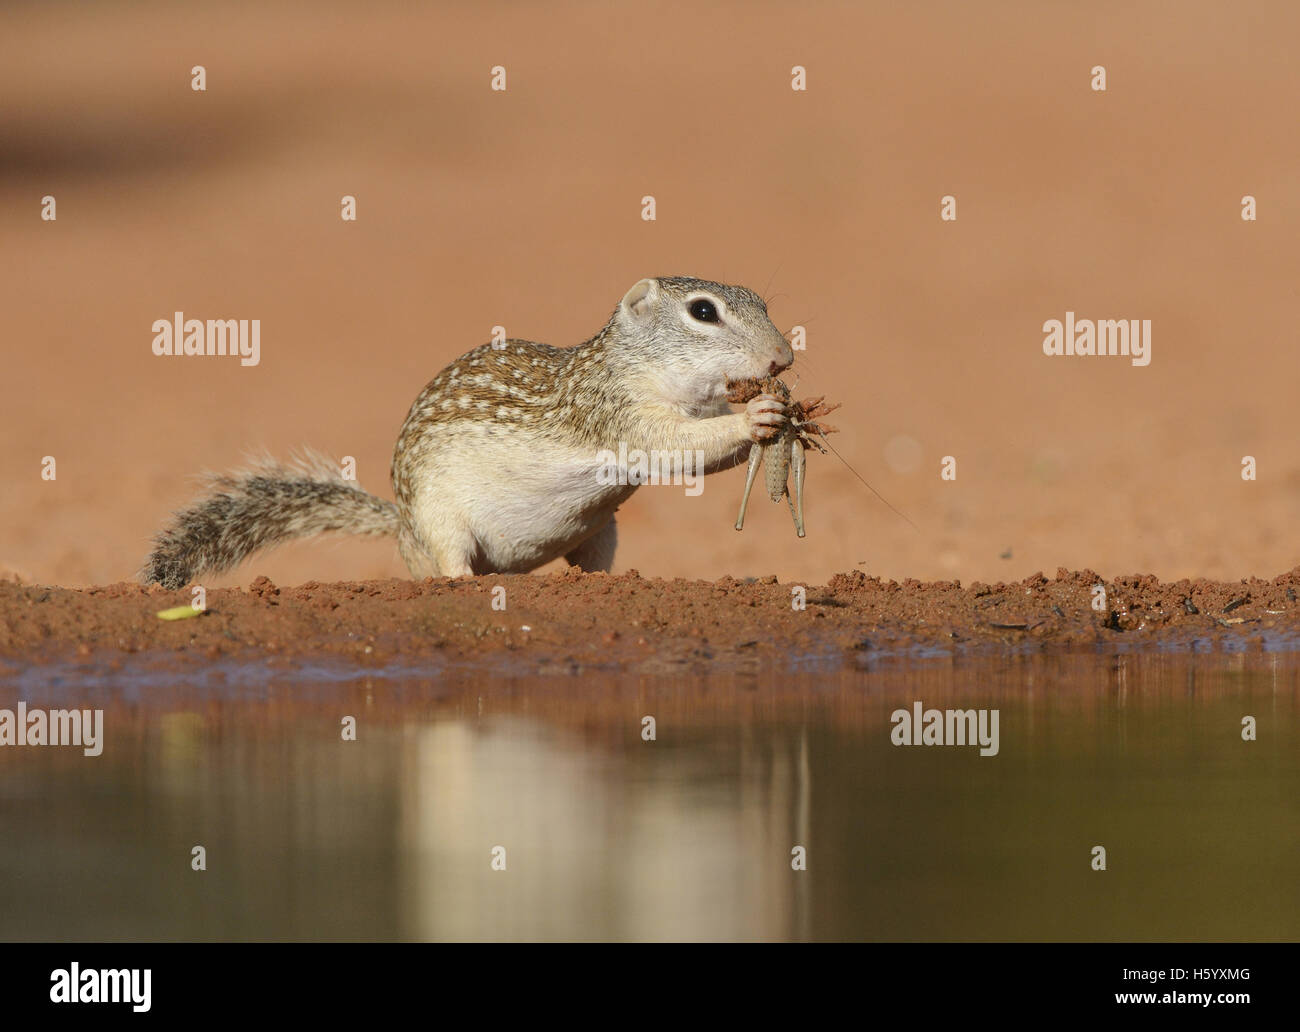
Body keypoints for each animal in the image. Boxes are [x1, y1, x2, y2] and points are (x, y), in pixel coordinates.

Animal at [140, 276, 794, 588]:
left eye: (762, 302)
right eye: (703, 312)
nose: (784, 358)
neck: (625, 363)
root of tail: (402, 530)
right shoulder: (615, 413)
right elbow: (675, 448)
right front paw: (756, 416)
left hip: (601, 533)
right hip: (439, 520)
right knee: (452, 562)